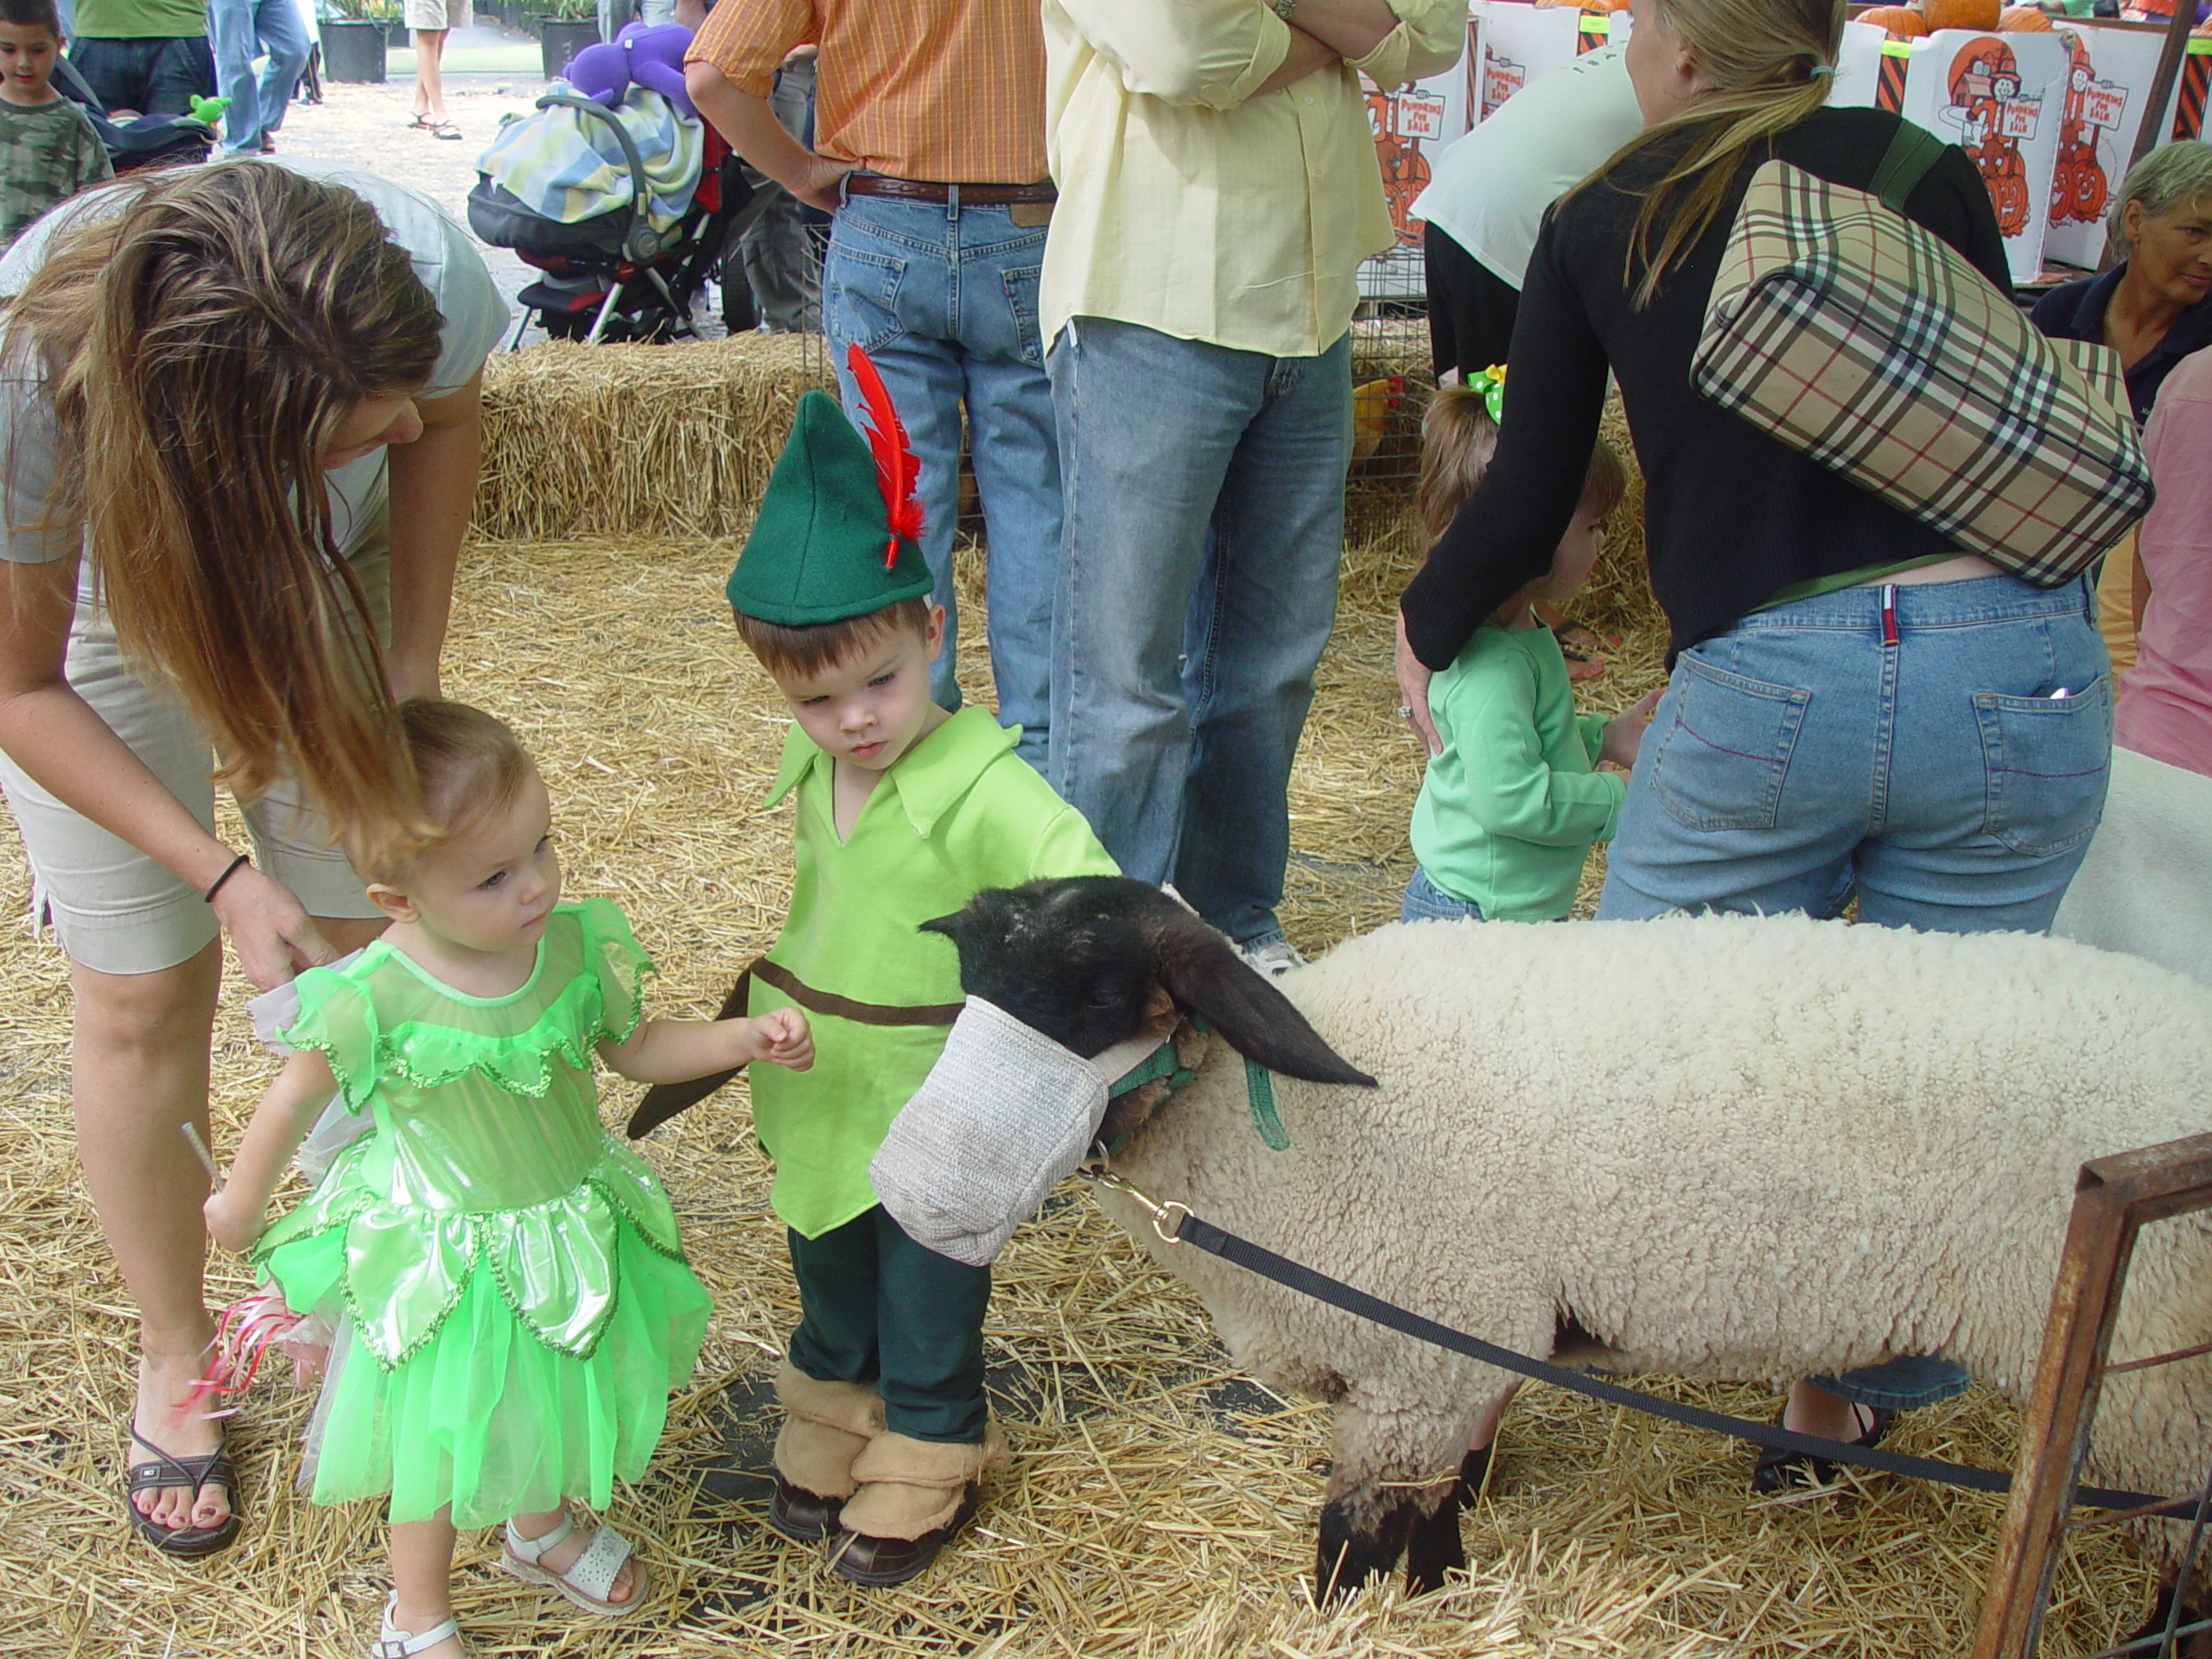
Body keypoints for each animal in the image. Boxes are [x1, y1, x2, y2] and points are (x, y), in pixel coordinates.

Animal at [911, 885, 2212, 1628]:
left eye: (1097, 998)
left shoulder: (1419, 1359)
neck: (1266, 1131)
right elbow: (1432, 1517)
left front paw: (1350, 1619)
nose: (927, 1191)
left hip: (2163, 1387)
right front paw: (1444, 1596)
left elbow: (1352, 1544)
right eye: (968, 981)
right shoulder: (1454, 1362)